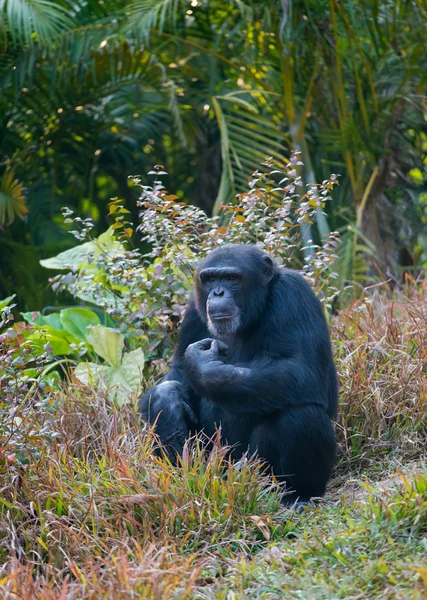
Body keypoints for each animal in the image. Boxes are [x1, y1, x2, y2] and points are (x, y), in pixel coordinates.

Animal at [140, 244, 338, 502]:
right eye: (210, 279)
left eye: (232, 279)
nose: (218, 293)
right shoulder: (193, 311)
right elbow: (179, 371)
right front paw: (166, 403)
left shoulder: (295, 294)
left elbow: (304, 368)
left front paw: (204, 367)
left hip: (254, 470)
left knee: (302, 415)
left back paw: (298, 496)